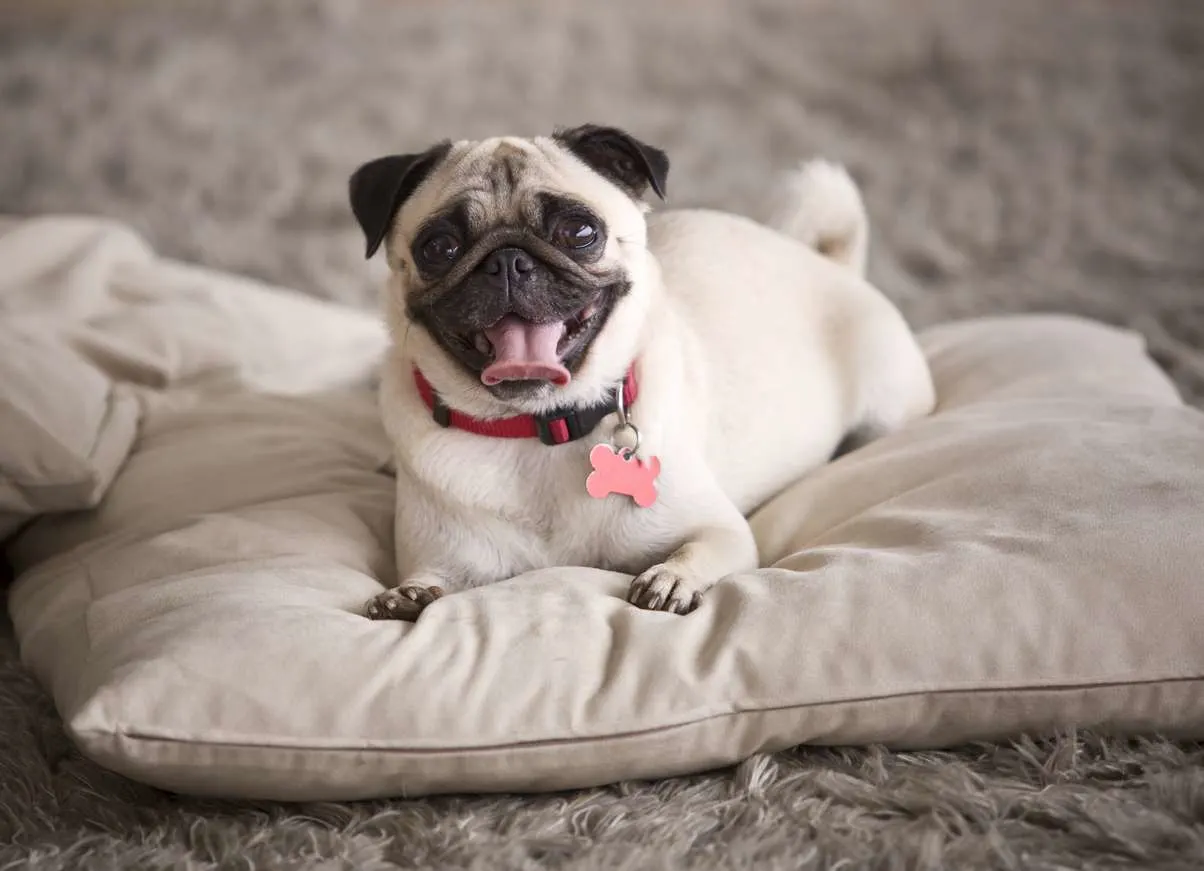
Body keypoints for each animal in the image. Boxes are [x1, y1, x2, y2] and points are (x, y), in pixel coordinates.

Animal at [346, 124, 929, 621]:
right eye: (439, 247)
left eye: (580, 231)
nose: (507, 260)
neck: (539, 427)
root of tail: (831, 263)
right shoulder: (446, 557)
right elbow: (429, 579)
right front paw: (406, 596)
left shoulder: (721, 531)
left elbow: (702, 549)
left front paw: (671, 579)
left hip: (887, 409)